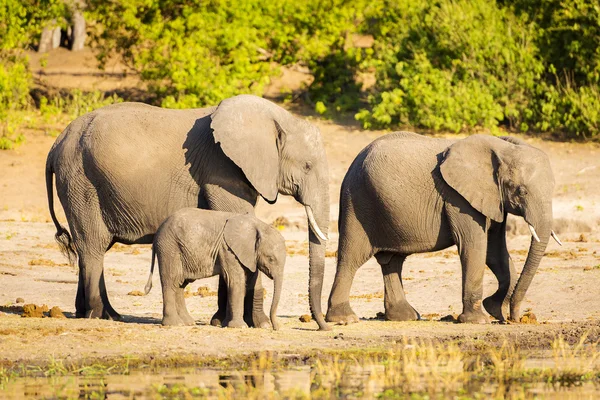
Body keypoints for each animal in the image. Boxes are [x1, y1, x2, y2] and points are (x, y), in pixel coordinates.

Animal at [145, 209, 286, 328]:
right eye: (271, 258)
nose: (276, 328)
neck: (258, 225)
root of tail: (157, 234)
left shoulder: (249, 254)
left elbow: (250, 282)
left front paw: (226, 324)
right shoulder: (228, 249)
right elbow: (236, 282)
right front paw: (239, 326)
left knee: (180, 284)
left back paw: (188, 322)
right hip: (169, 249)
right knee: (171, 282)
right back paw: (174, 324)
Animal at [326, 132, 560, 324]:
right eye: (520, 191)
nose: (516, 318)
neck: (502, 148)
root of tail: (352, 164)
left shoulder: (492, 199)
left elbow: (495, 252)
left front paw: (495, 309)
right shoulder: (458, 199)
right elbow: (474, 246)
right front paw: (478, 320)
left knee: (392, 261)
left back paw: (406, 317)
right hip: (357, 202)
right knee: (351, 258)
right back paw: (344, 319)